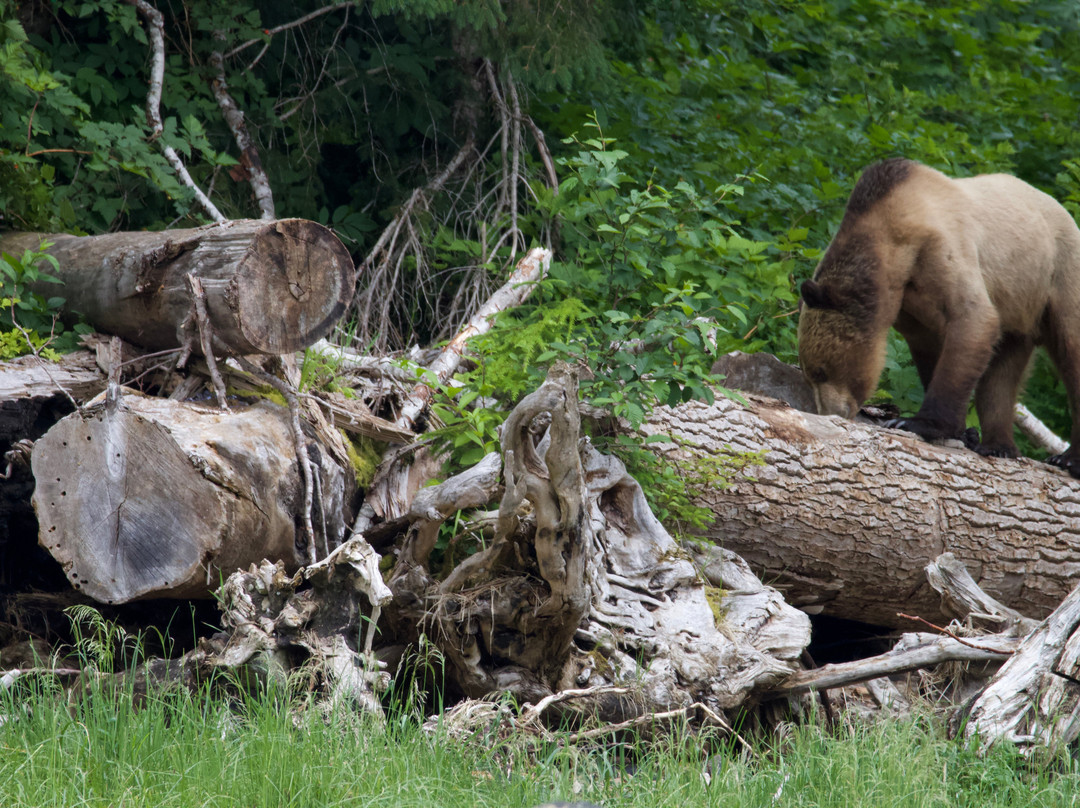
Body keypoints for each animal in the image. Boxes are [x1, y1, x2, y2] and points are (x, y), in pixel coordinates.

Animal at [799, 156, 1080, 479]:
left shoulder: (941, 250)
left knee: (1071, 349)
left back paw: (1068, 459)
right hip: (1019, 306)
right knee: (1002, 373)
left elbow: (973, 320)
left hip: (1059, 273)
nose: (831, 412)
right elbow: (932, 353)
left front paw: (914, 422)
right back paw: (998, 445)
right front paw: (963, 432)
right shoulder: (910, 306)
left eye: (820, 370)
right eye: (810, 373)